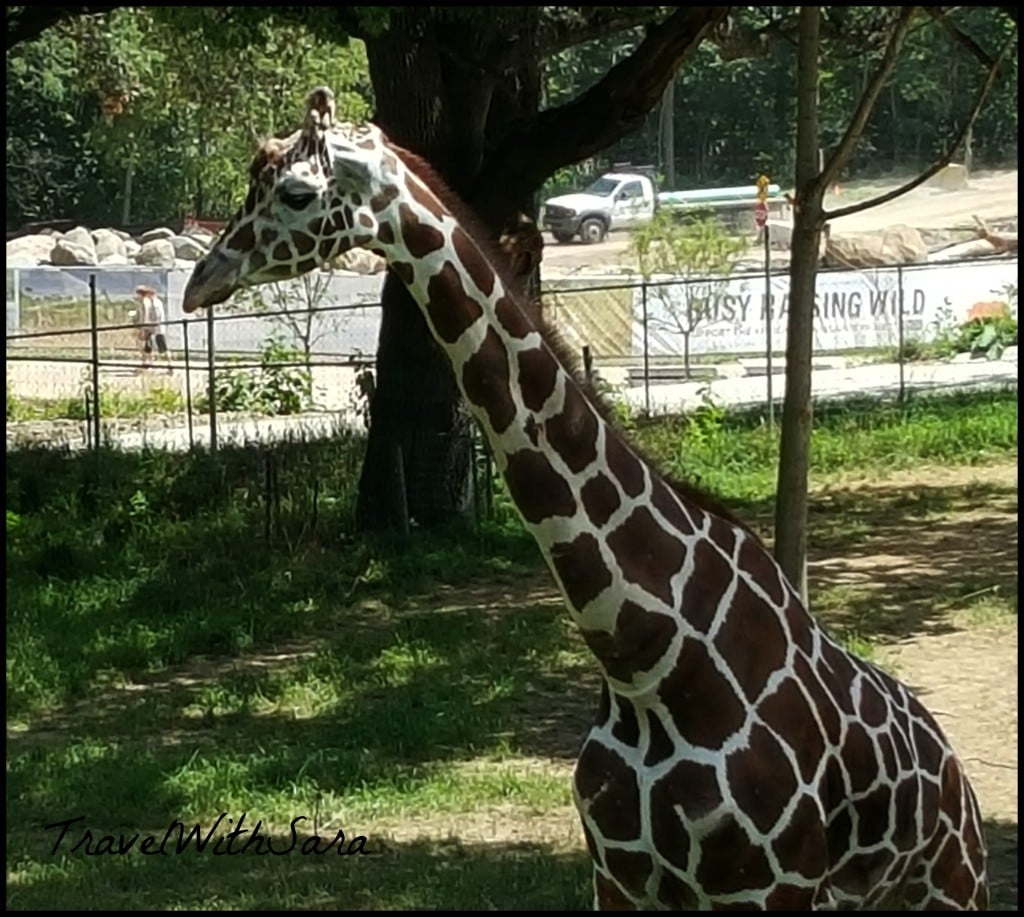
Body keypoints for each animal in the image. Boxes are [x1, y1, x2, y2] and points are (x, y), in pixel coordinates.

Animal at [180, 88, 987, 908]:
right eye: (253, 183)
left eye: (295, 193)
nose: (201, 280)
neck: (644, 662)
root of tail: (958, 779)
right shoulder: (616, 874)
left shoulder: (768, 883)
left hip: (949, 886)